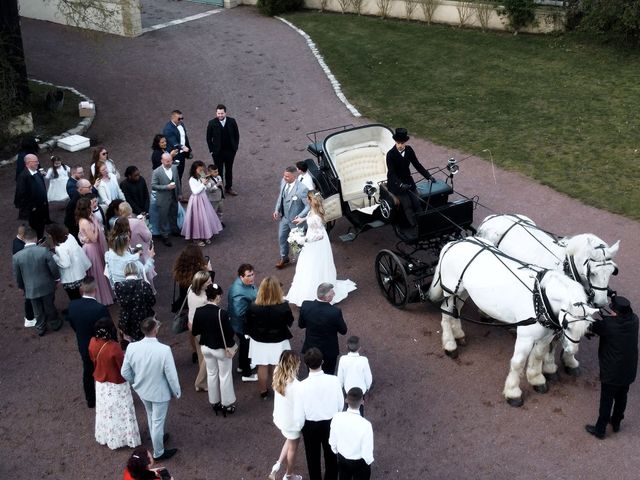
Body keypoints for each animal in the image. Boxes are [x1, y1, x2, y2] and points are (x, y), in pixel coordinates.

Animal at [428, 238, 596, 406]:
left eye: (586, 328)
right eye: (567, 325)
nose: (571, 351)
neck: (539, 298)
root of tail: (454, 242)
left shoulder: (546, 336)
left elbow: (538, 355)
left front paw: (536, 379)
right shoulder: (525, 337)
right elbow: (518, 362)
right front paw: (513, 393)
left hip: (463, 291)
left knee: (456, 310)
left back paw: (458, 334)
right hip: (450, 291)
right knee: (446, 314)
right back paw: (450, 344)